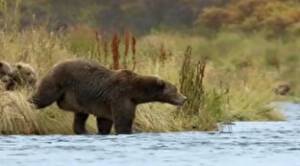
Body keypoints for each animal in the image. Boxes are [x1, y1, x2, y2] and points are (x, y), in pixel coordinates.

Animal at [29, 59, 185, 134]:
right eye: (176, 89)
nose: (184, 98)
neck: (136, 91)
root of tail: (55, 64)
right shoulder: (121, 97)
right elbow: (123, 120)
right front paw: (127, 130)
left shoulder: (107, 104)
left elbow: (105, 121)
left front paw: (103, 131)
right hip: (58, 81)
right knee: (43, 97)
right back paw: (29, 103)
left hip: (78, 99)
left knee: (80, 117)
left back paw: (84, 131)